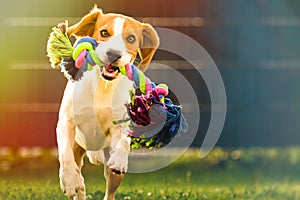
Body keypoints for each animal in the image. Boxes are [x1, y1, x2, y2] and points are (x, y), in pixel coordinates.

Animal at [55, 6, 159, 200]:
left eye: (131, 38)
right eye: (104, 32)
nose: (113, 53)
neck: (103, 86)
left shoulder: (121, 122)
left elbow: (124, 140)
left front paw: (120, 158)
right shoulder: (66, 121)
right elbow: (65, 152)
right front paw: (69, 180)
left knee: (110, 191)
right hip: (78, 148)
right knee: (79, 179)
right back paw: (77, 184)